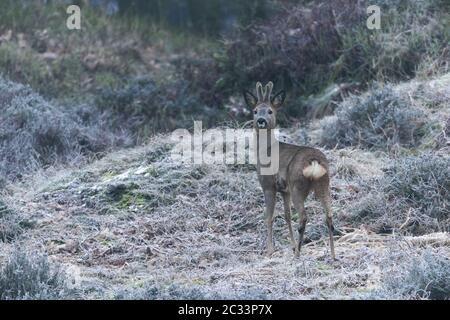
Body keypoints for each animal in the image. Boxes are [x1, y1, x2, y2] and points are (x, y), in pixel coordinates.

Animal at [244, 81, 336, 258]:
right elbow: (286, 216)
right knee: (329, 215)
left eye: (270, 111)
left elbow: (269, 217)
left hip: (297, 185)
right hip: (323, 183)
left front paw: (270, 251)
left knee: (303, 217)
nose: (260, 120)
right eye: (255, 110)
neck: (265, 150)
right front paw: (292, 246)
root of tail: (314, 162)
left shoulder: (268, 185)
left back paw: (298, 254)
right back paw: (333, 255)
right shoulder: (284, 190)